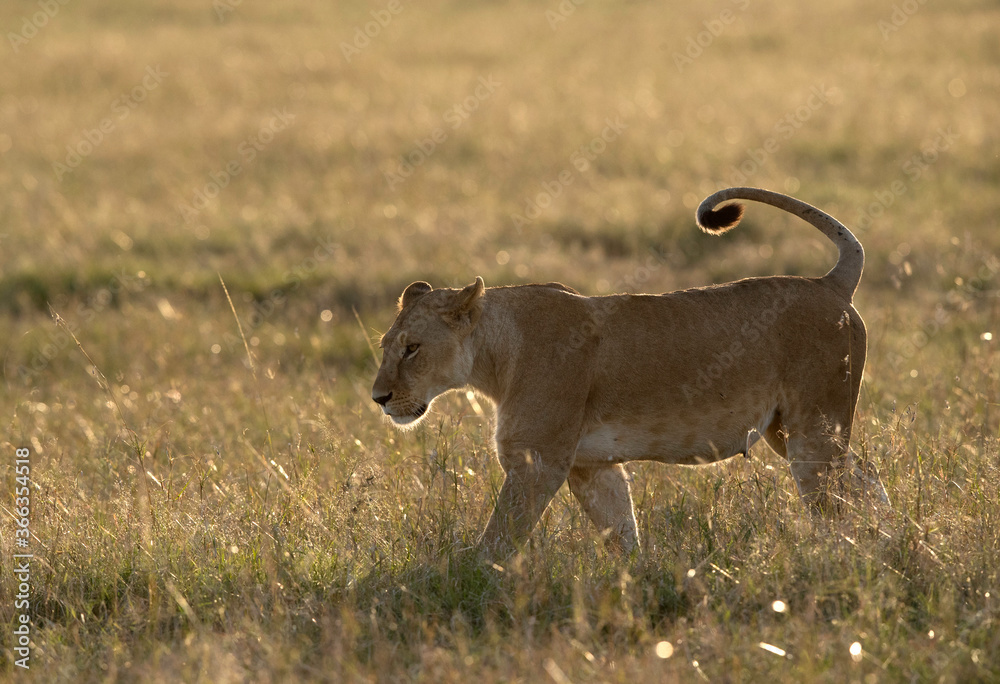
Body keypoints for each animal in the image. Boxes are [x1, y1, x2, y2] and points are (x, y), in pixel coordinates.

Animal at [372, 187, 888, 559]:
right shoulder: (590, 465)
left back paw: (842, 558)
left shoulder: (536, 459)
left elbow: (498, 539)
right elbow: (622, 531)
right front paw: (640, 582)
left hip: (814, 431)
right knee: (866, 479)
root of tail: (831, 283)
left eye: (412, 349)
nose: (378, 398)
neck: (496, 355)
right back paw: (886, 541)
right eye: (384, 348)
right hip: (789, 431)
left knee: (836, 502)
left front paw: (470, 582)